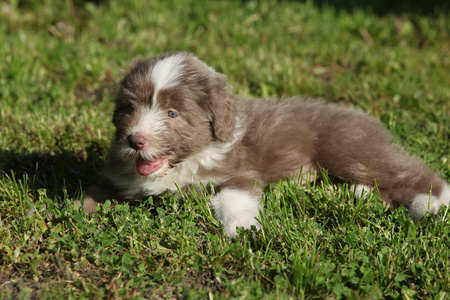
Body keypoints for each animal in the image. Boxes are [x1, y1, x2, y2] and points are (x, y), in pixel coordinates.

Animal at [81, 52, 450, 238]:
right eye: (129, 108)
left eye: (172, 113)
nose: (135, 139)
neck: (186, 162)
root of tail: (364, 117)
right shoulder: (119, 178)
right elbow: (96, 193)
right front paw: (83, 208)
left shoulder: (237, 170)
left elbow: (232, 196)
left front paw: (242, 228)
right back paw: (355, 194)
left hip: (349, 148)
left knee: (410, 172)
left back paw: (432, 204)